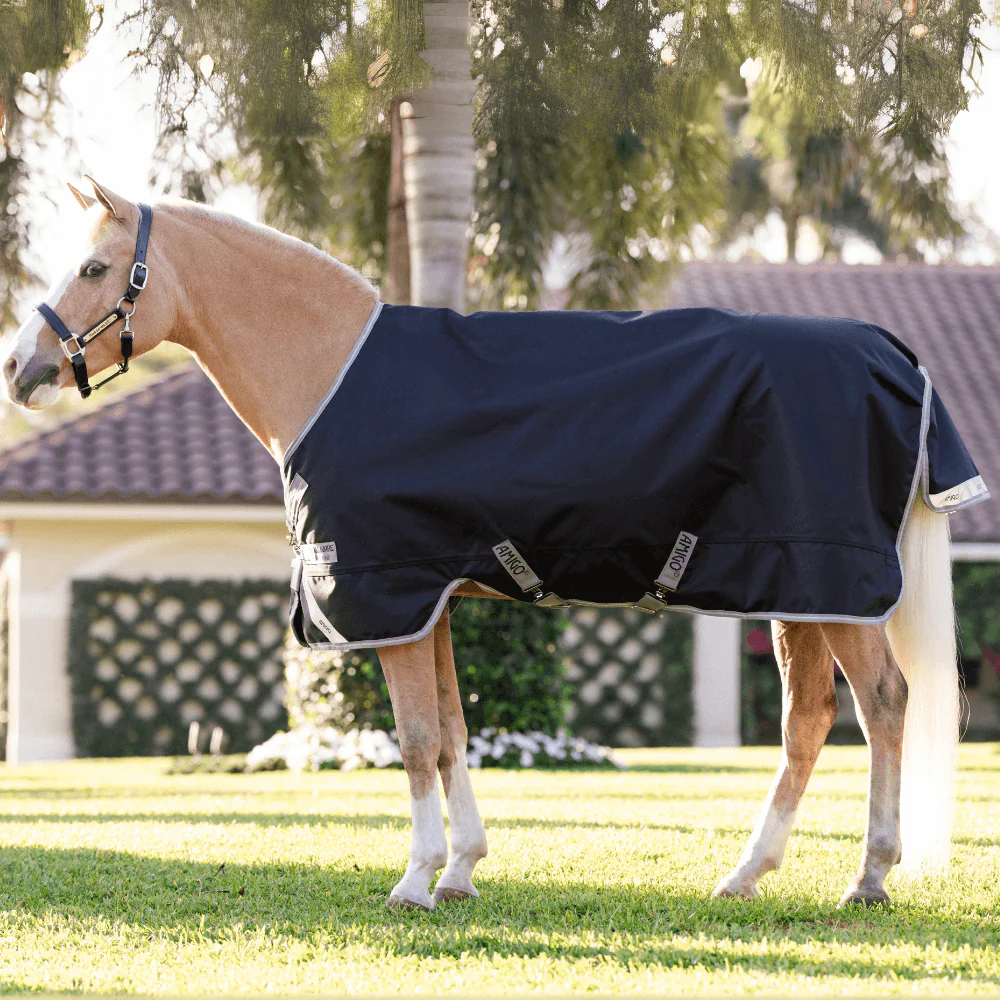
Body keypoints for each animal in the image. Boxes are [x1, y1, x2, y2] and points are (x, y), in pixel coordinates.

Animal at [3, 177, 963, 911]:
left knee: (883, 702)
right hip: (800, 590)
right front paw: (462, 870)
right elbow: (455, 731)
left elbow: (416, 737)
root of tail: (892, 354)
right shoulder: (432, 601)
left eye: (94, 268)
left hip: (833, 585)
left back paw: (869, 878)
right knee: (809, 721)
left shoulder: (389, 597)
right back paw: (746, 875)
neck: (331, 369)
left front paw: (415, 880)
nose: (20, 371)